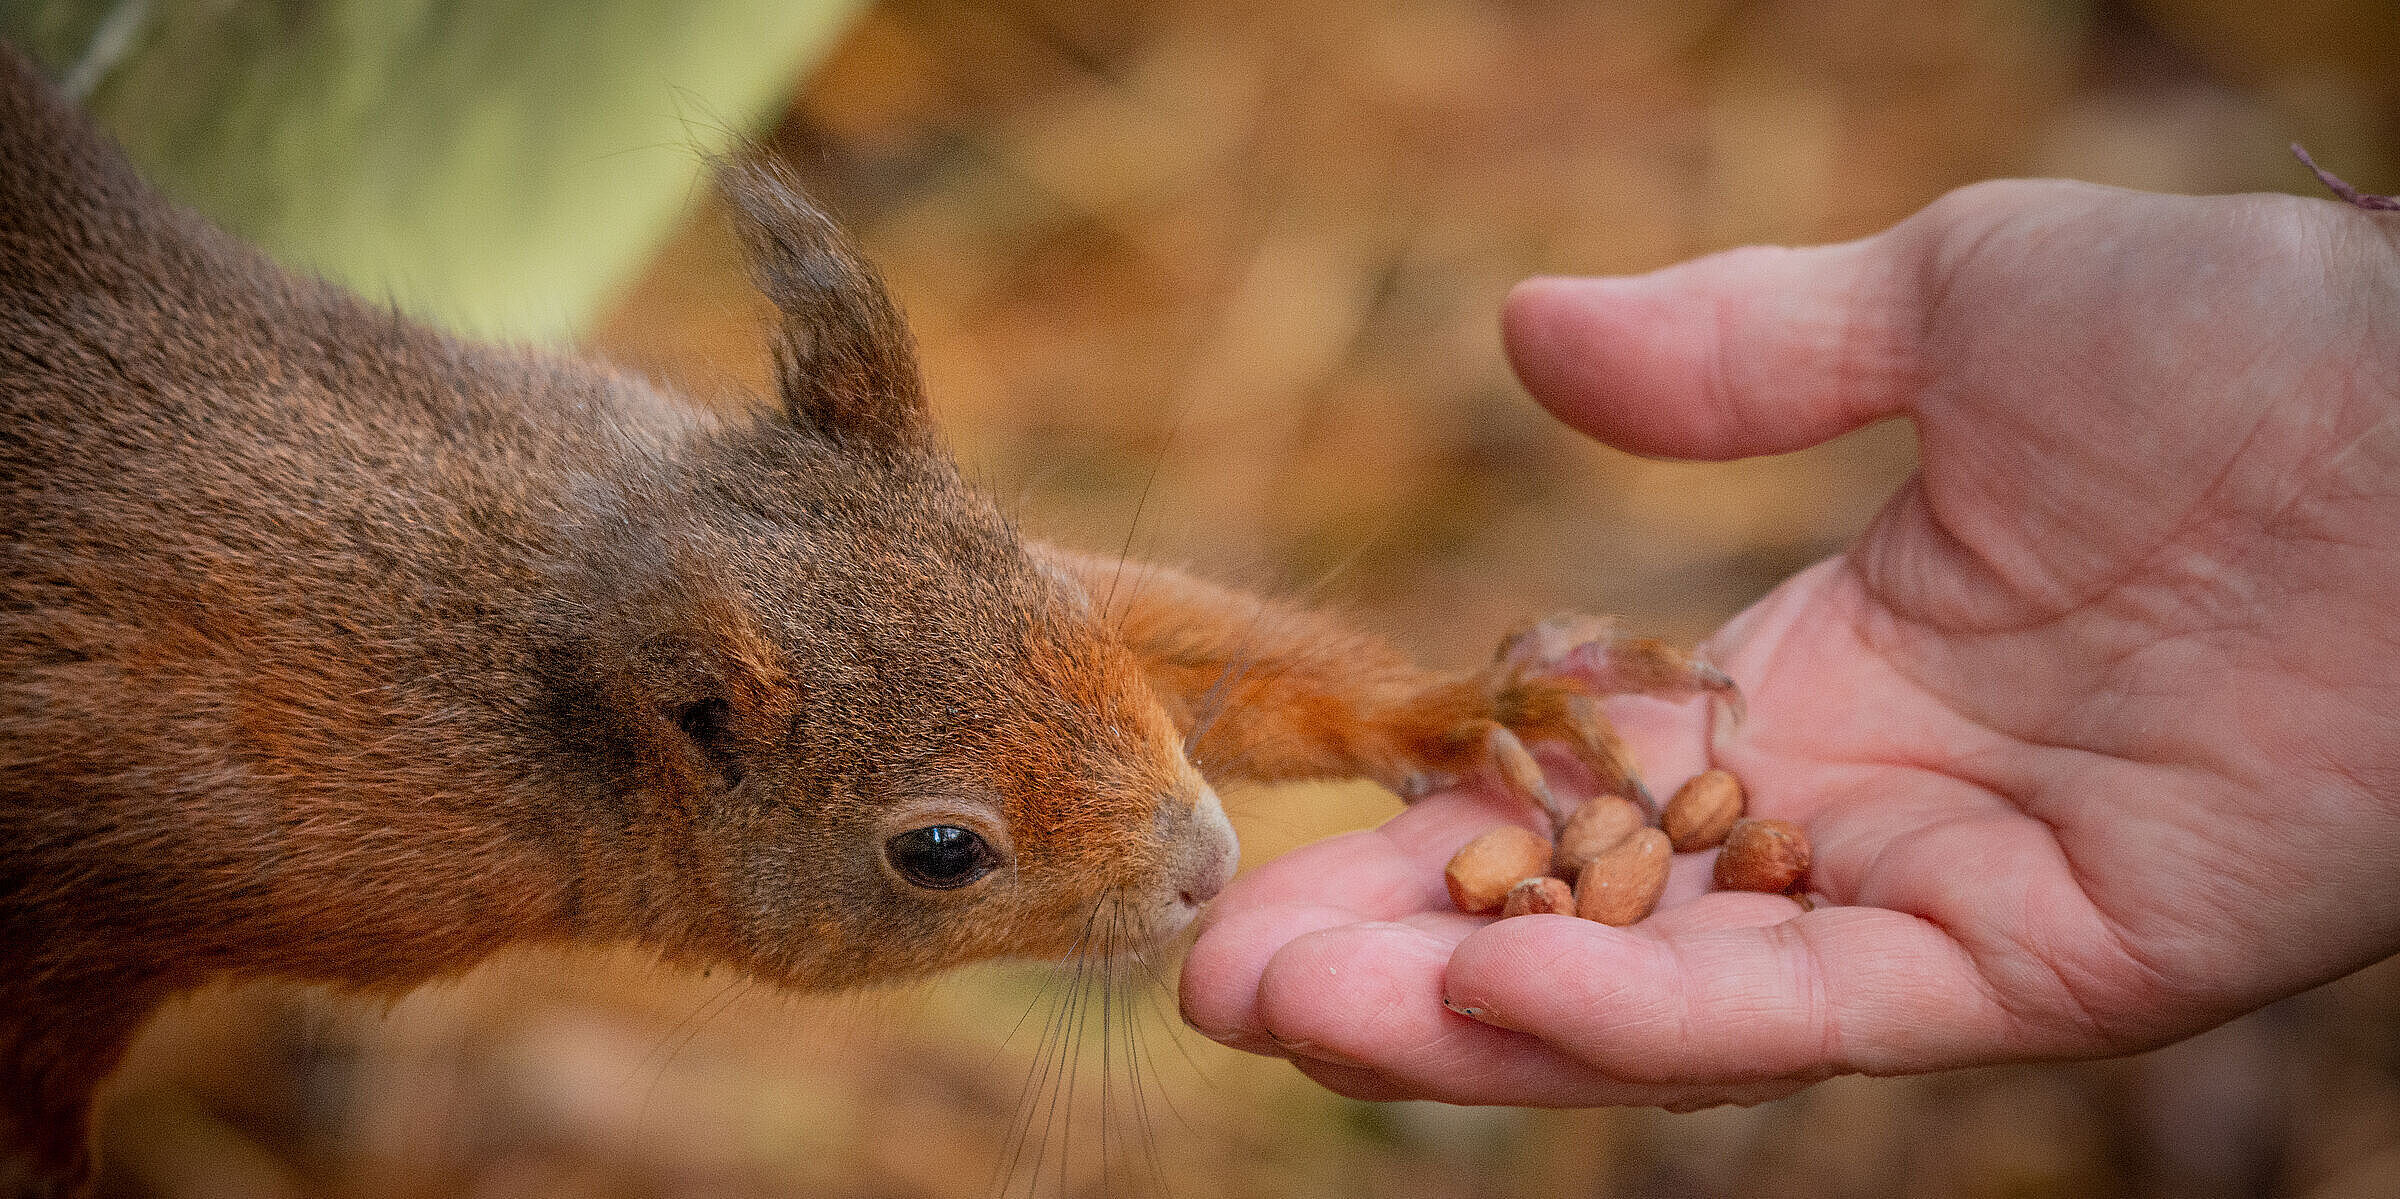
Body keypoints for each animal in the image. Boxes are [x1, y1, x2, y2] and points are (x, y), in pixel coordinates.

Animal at [0, 42, 1728, 1194]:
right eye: (940, 849)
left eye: (1059, 605)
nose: (1208, 863)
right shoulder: (162, 819)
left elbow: (1208, 645)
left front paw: (1474, 705)